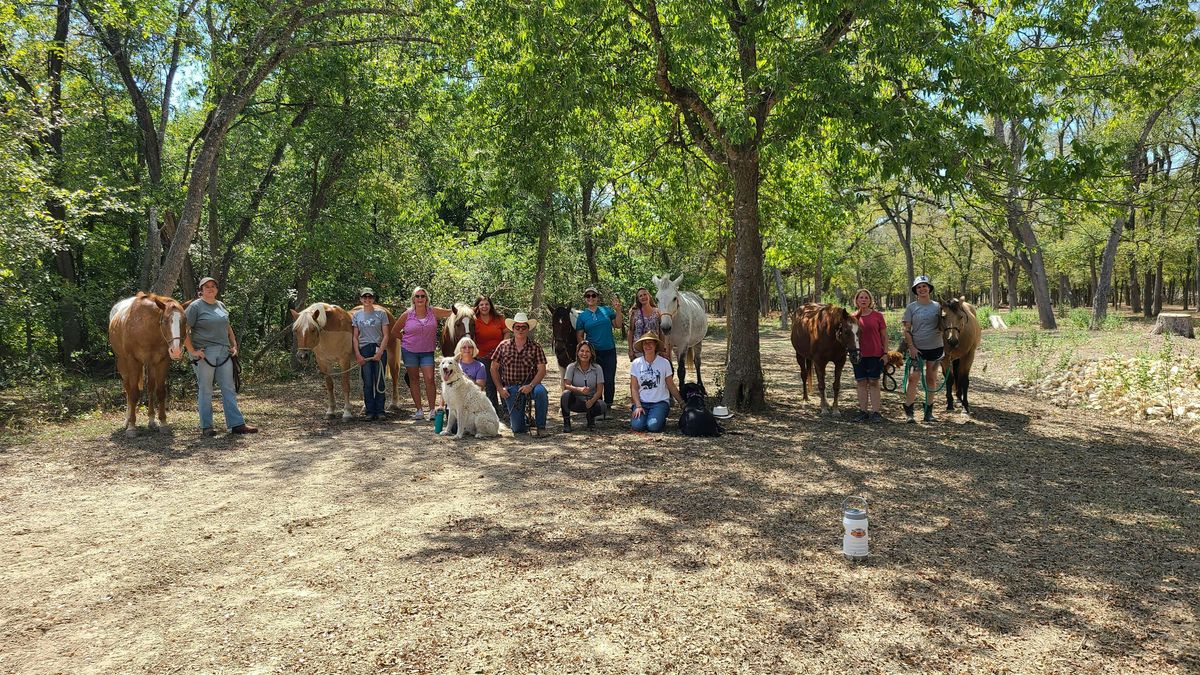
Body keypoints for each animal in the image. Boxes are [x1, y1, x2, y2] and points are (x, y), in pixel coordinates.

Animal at [109, 291, 188, 432]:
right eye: (165, 321)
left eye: (184, 321)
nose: (176, 351)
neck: (147, 330)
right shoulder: (133, 361)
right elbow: (134, 393)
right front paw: (132, 426)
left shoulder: (162, 361)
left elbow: (160, 392)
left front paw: (163, 422)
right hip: (123, 364)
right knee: (128, 389)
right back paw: (127, 420)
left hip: (150, 364)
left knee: (150, 388)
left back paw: (151, 420)